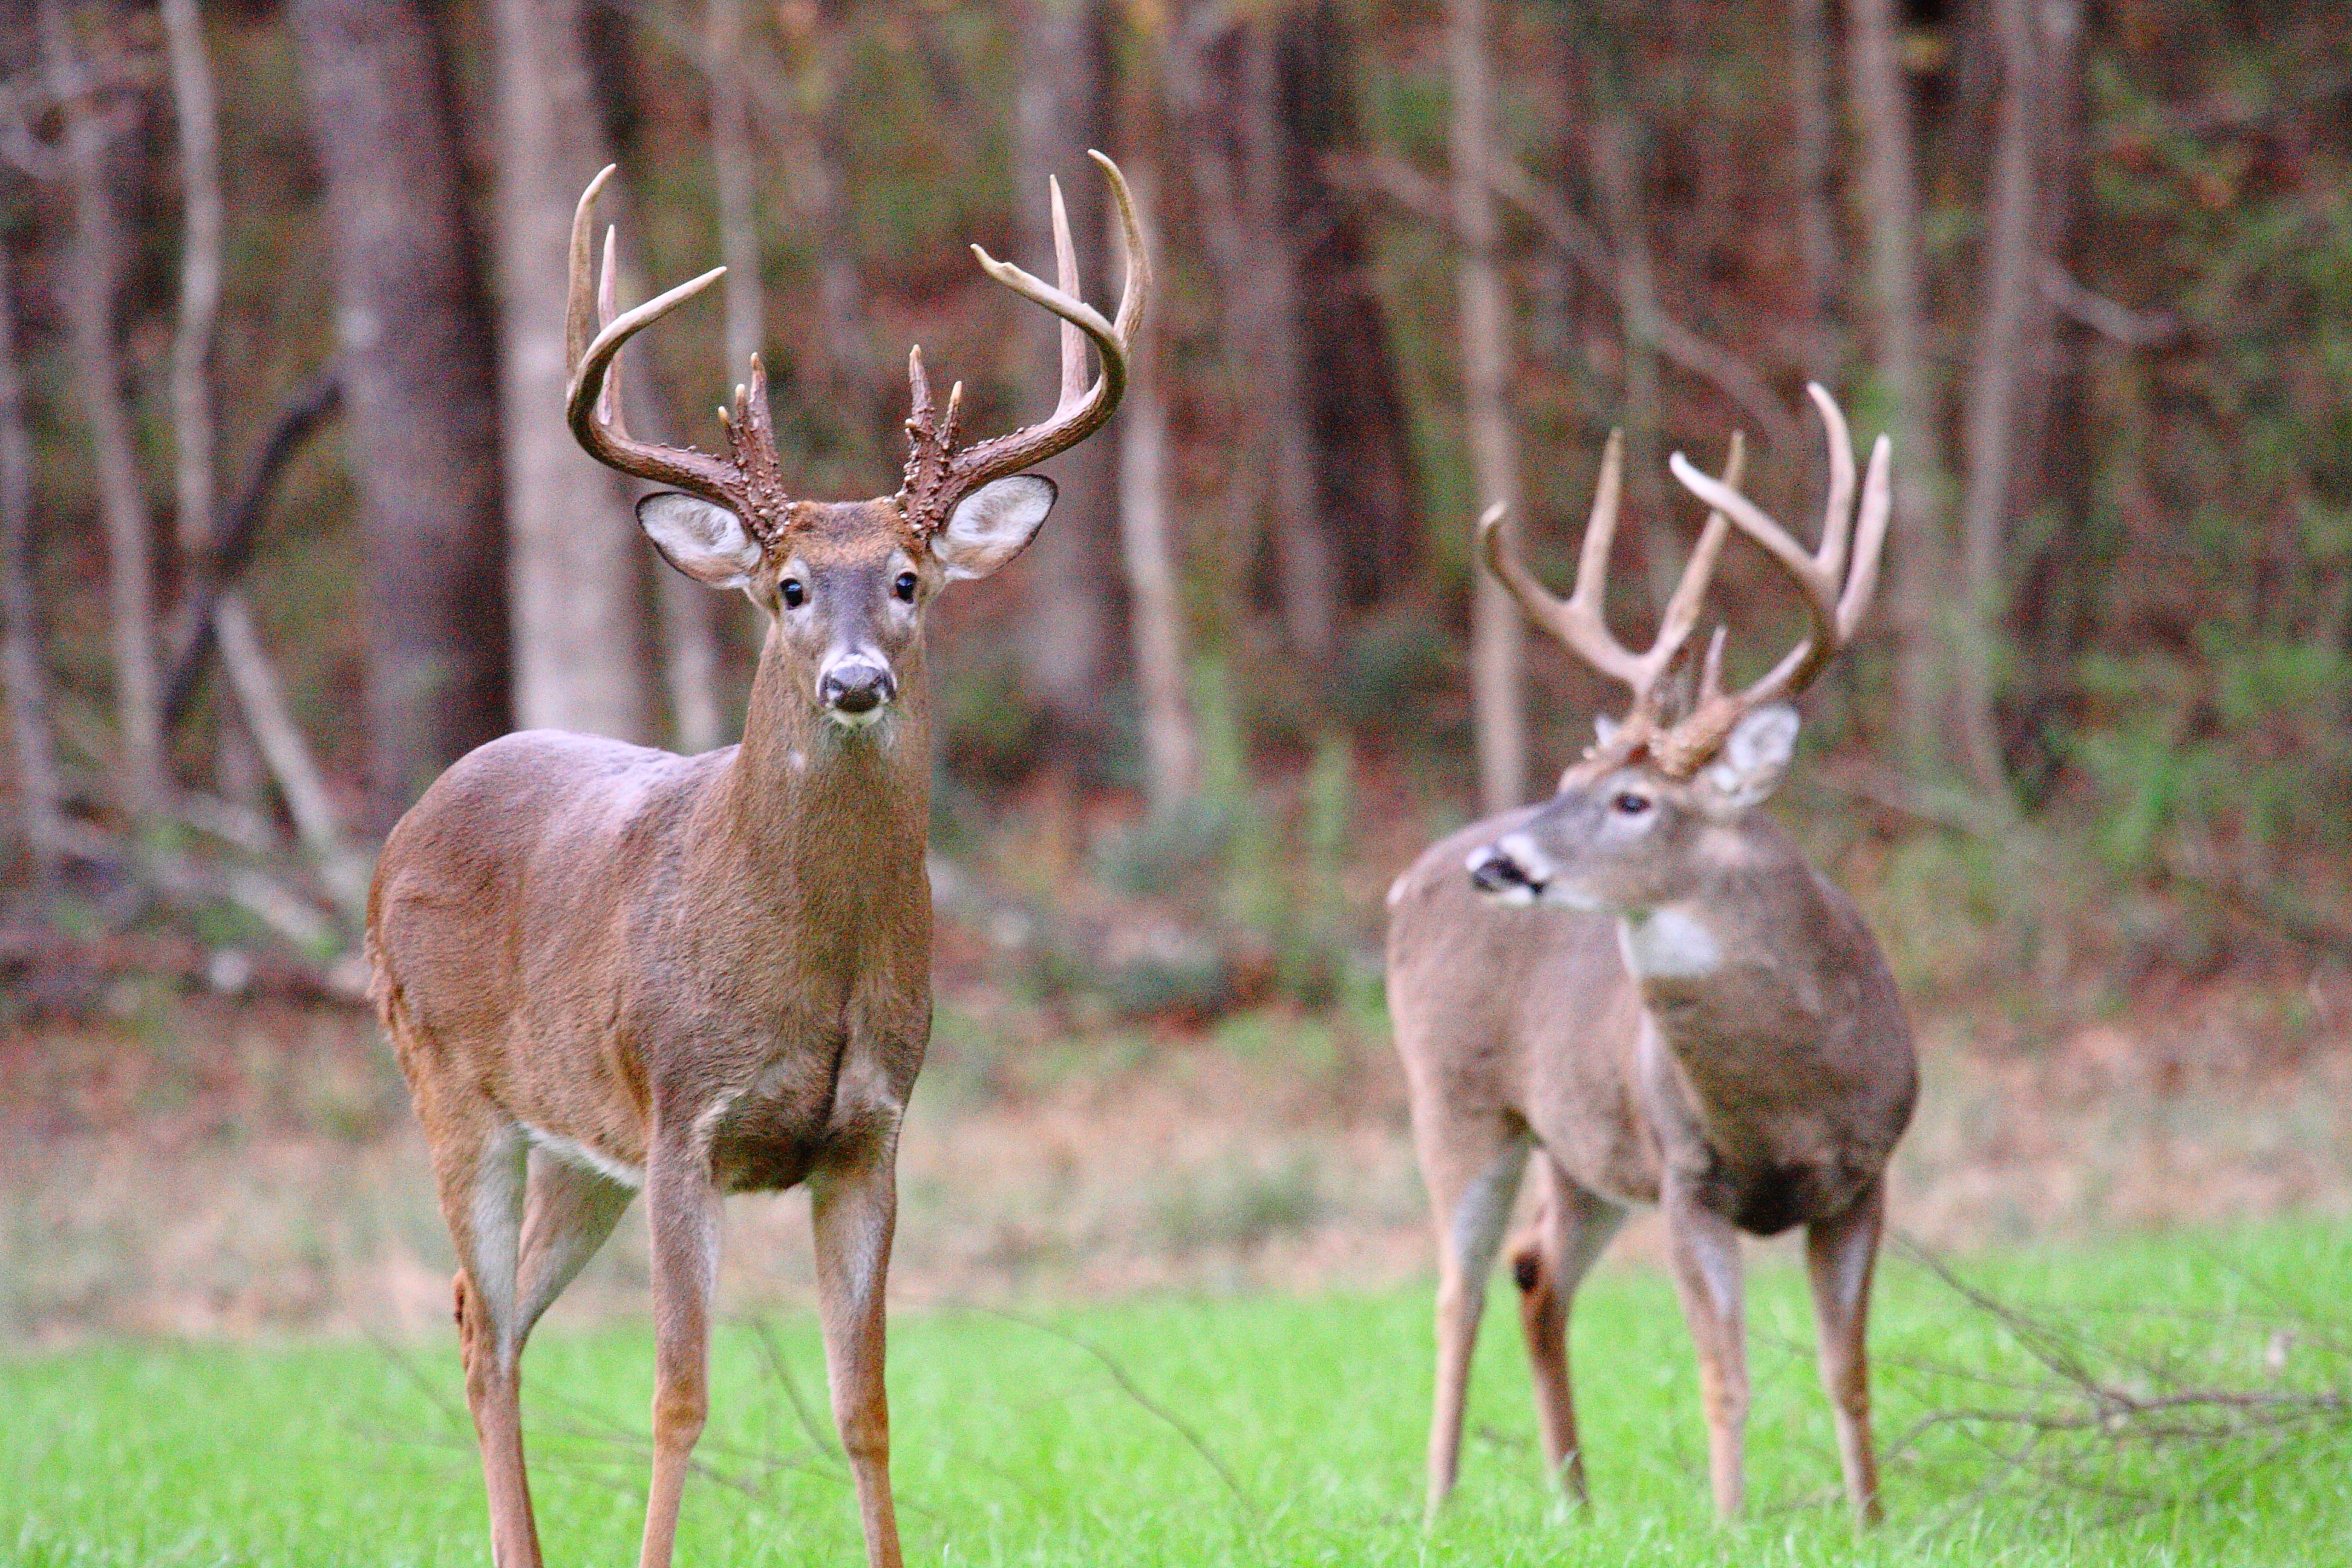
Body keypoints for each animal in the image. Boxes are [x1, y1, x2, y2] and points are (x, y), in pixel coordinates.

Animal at [357, 150, 1148, 1568]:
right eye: (786, 587)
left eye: (908, 578)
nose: (853, 680)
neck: (813, 965)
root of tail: (412, 819)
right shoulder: (685, 1113)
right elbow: (679, 1395)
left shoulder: (872, 1131)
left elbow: (865, 1404)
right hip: (448, 1080)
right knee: (483, 1325)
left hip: (578, 1144)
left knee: (484, 1314)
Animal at [1383, 385, 1919, 1523]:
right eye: (1566, 778)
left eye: (1632, 800)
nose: (1500, 861)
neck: (1787, 1098)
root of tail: (1408, 876)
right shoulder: (1686, 1172)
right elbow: (1726, 1372)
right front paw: (1731, 1523)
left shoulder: (1866, 1172)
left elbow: (1847, 1369)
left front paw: (1871, 1520)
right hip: (1455, 1095)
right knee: (1456, 1288)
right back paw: (1439, 1502)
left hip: (1581, 1144)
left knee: (1535, 1272)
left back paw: (1574, 1500)